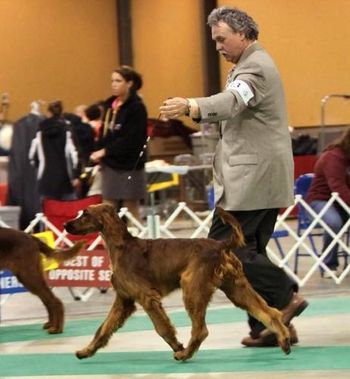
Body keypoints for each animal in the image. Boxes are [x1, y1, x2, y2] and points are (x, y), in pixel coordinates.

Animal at [65, 205, 290, 362]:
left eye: (85, 214)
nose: (66, 225)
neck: (122, 247)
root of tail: (220, 245)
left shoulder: (147, 298)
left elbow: (162, 328)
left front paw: (178, 347)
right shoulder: (124, 300)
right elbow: (103, 329)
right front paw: (86, 351)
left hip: (192, 288)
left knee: (201, 330)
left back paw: (185, 354)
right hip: (237, 289)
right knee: (270, 313)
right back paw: (284, 341)